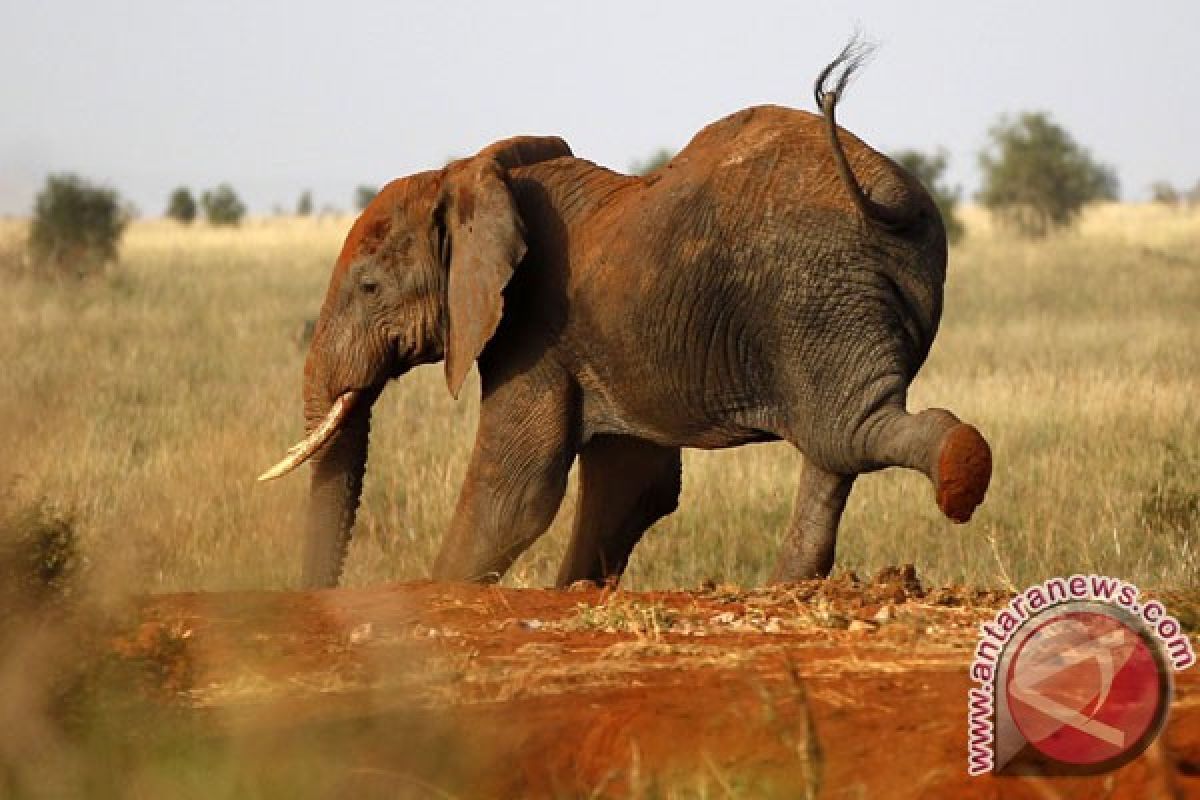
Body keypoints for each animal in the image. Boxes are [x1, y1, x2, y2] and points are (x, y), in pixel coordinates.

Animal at [262, 43, 993, 592]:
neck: (468, 174)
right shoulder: (600, 340)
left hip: (815, 293)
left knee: (846, 432)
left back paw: (960, 473)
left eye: (369, 286)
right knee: (834, 444)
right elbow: (632, 484)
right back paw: (789, 587)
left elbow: (515, 491)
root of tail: (885, 191)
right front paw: (576, 592)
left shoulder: (534, 327)